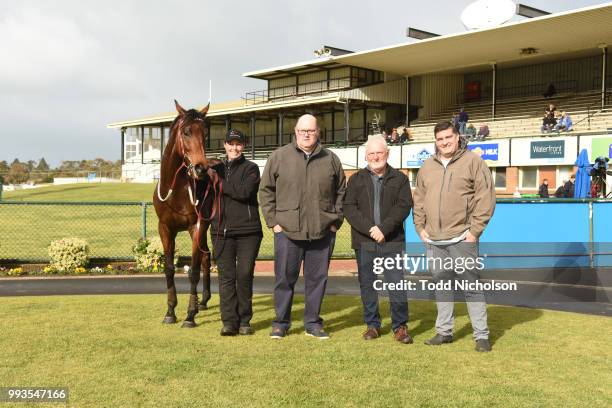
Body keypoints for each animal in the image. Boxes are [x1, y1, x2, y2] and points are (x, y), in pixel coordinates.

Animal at [152, 99, 220, 328]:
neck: (176, 191)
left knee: (205, 258)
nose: (200, 168)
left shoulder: (196, 226)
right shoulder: (165, 228)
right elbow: (169, 268)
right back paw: (203, 301)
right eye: (187, 131)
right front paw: (170, 311)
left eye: (205, 133)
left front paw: (190, 315)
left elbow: (193, 271)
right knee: (206, 256)